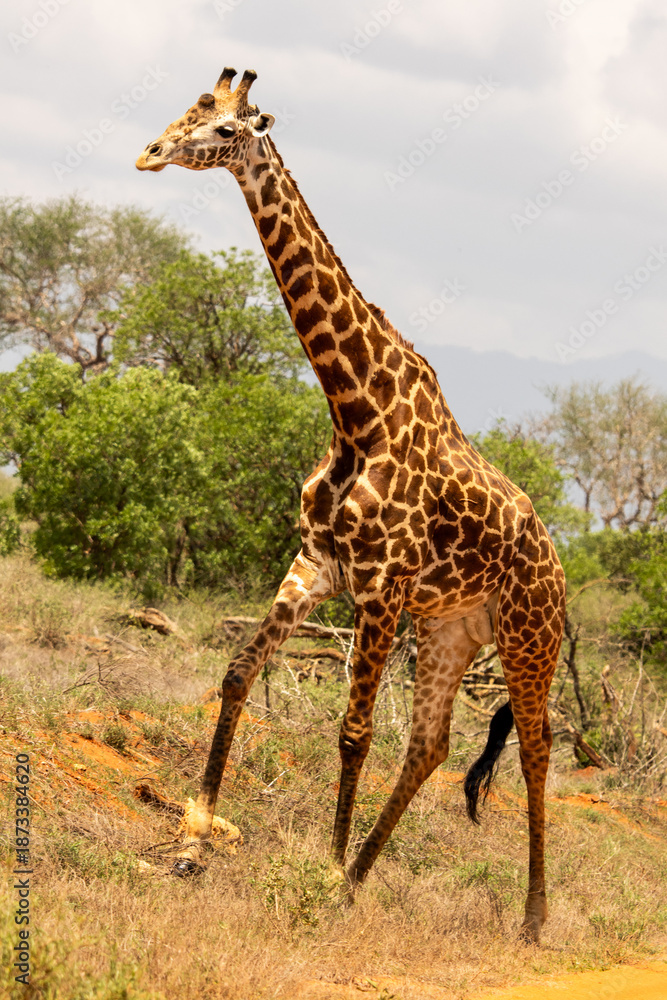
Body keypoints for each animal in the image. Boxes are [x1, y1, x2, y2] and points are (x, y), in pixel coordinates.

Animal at [136, 67, 566, 943]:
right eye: (189, 108)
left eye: (227, 129)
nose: (151, 153)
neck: (353, 407)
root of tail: (562, 574)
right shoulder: (316, 564)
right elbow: (237, 674)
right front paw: (194, 840)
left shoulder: (379, 587)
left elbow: (352, 731)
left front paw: (321, 869)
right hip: (451, 631)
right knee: (430, 745)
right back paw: (363, 879)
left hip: (526, 636)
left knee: (536, 746)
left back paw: (530, 916)